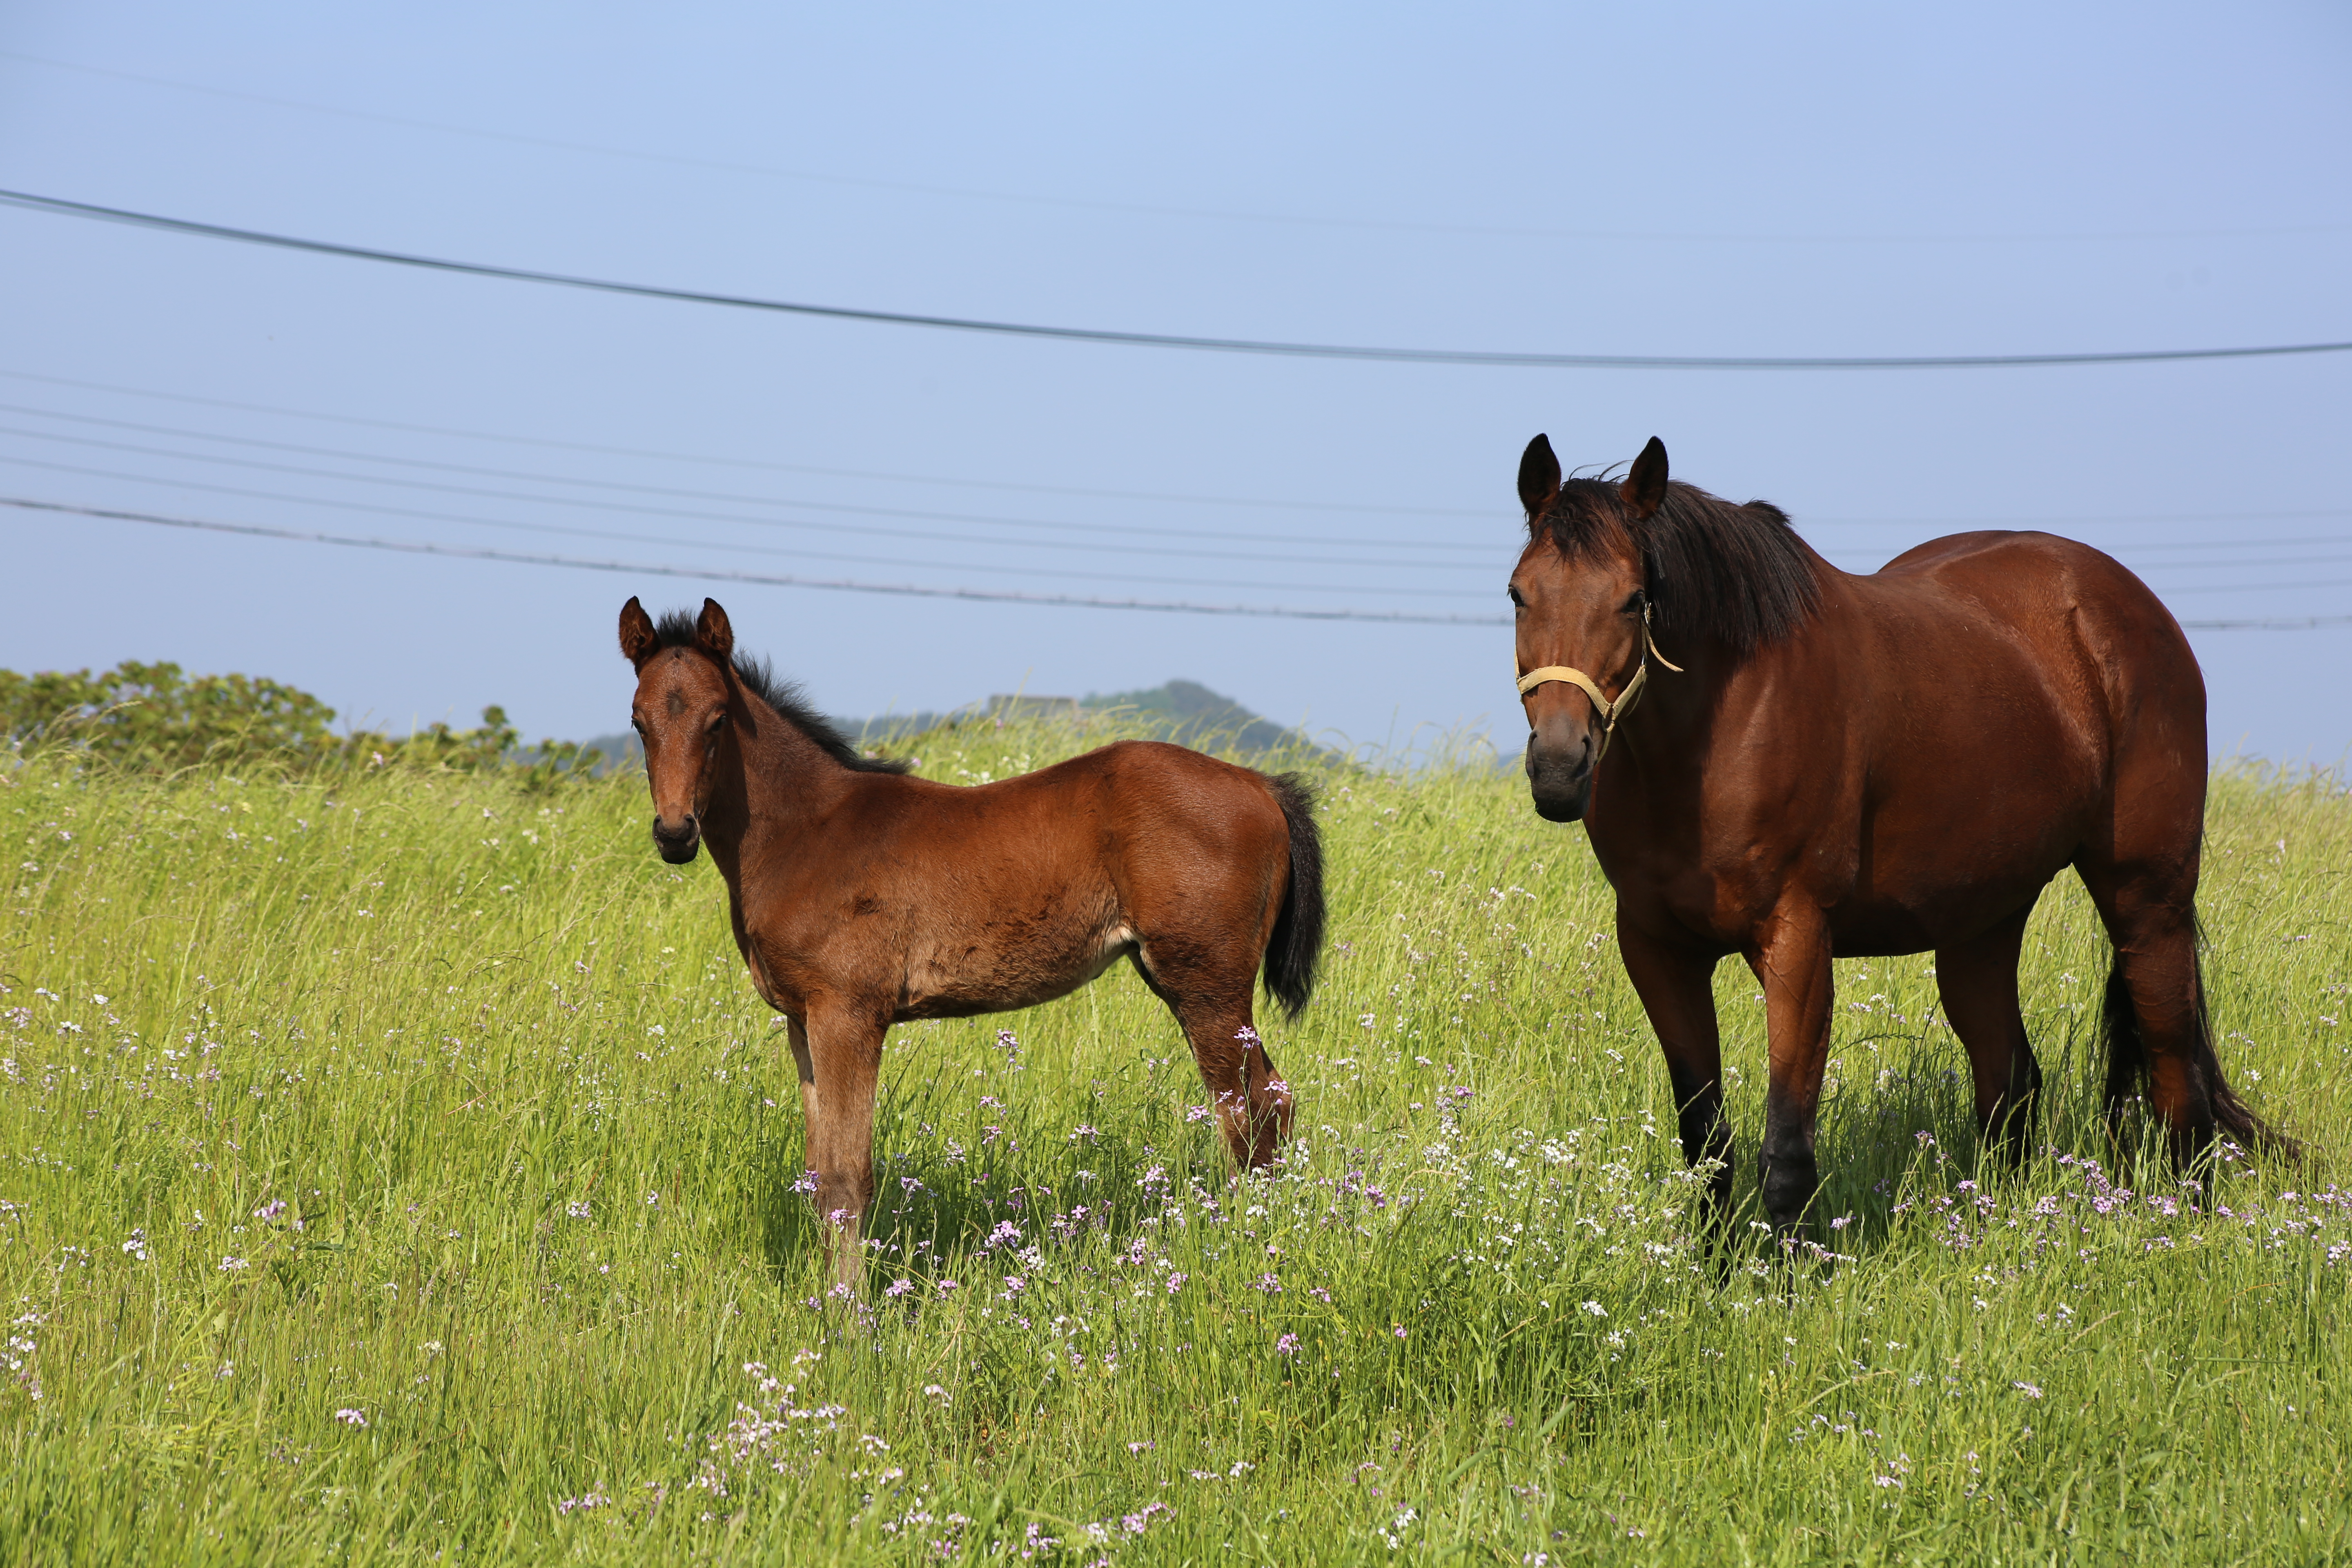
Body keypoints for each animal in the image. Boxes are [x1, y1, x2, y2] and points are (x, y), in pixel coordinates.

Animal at [626, 601, 1326, 1288]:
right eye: (638, 722)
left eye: (718, 720)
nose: (675, 833)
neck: (806, 832)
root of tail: (1261, 785)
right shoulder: (803, 1020)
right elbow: (817, 1170)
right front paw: (826, 1301)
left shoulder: (849, 1013)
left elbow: (847, 1178)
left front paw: (849, 1313)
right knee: (1274, 1103)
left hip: (1208, 985)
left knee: (1248, 1113)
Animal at [1505, 435, 2276, 1241]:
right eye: (1519, 594)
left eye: (1633, 599)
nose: (1558, 767)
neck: (1716, 736)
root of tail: (2125, 604)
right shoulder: (1658, 950)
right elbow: (1706, 1141)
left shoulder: (1798, 940)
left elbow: (1787, 1147)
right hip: (1983, 921)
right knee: (2010, 1078)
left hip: (2147, 900)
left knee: (2175, 1078)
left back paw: (2184, 1225)